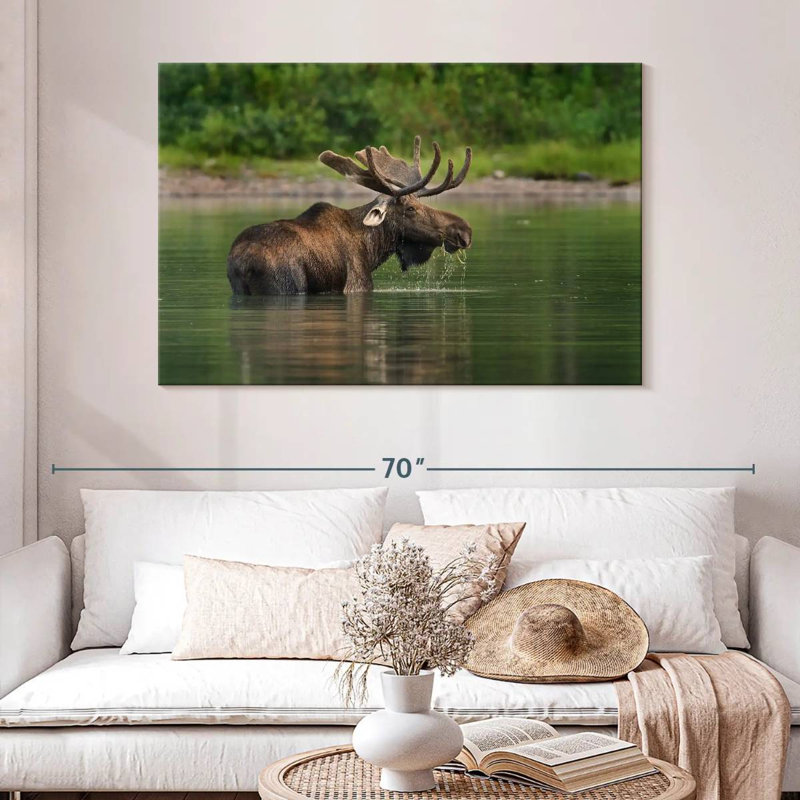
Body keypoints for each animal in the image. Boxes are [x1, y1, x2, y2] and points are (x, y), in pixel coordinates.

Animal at [226, 137, 473, 295]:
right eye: (410, 208)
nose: (464, 231)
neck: (373, 249)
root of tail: (244, 261)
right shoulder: (357, 284)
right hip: (285, 285)